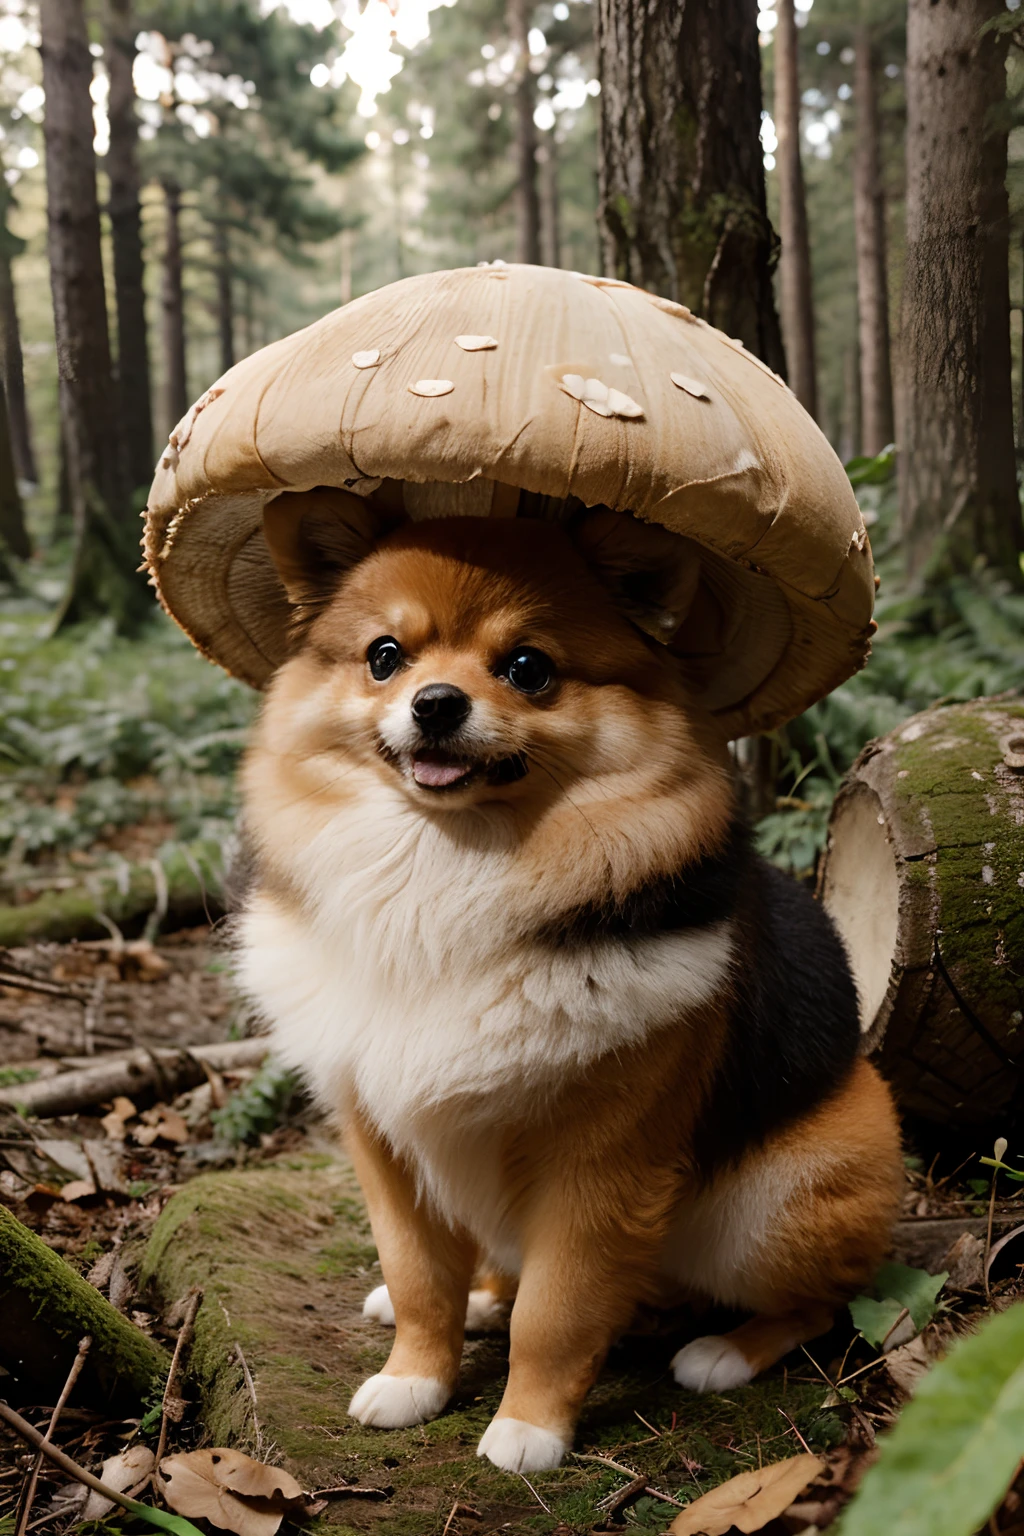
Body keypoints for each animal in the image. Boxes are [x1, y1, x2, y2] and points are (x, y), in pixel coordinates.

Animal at [236, 491, 902, 1474]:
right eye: (384, 657)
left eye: (528, 668)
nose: (436, 704)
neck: (448, 870)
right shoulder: (383, 1139)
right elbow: (418, 1273)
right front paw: (416, 1376)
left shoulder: (600, 1166)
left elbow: (557, 1313)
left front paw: (529, 1427)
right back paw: (486, 1294)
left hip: (772, 1205)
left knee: (826, 1299)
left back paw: (725, 1350)